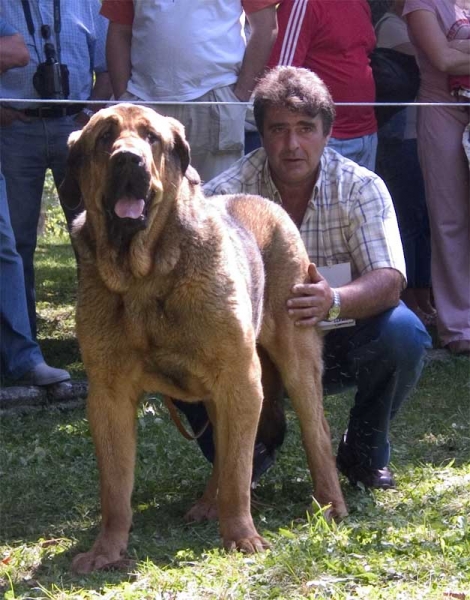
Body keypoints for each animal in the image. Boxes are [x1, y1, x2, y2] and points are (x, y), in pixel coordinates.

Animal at [58, 103, 346, 572]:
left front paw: (242, 536)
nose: (128, 160)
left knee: (314, 430)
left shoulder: (239, 378)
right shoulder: (109, 393)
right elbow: (115, 488)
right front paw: (106, 550)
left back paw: (331, 504)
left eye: (151, 138)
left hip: (295, 359)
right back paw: (210, 504)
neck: (144, 276)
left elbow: (238, 469)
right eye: (104, 138)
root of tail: (270, 203)